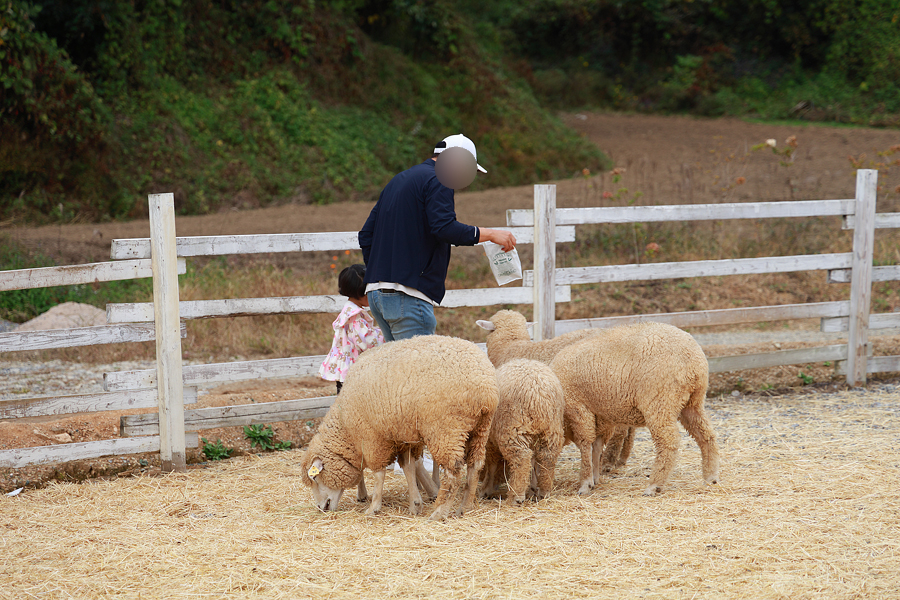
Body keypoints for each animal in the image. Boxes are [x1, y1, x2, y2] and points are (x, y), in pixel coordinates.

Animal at [302, 336, 500, 516]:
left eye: (316, 479)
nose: (320, 508)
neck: (346, 427)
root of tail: (485, 387)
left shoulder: (373, 439)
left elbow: (379, 474)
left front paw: (374, 507)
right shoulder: (402, 436)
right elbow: (409, 468)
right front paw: (415, 504)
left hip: (446, 429)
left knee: (453, 471)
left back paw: (439, 512)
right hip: (480, 427)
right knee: (475, 464)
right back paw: (464, 507)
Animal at [482, 358, 568, 504]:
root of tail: (539, 394)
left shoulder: (490, 443)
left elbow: (491, 466)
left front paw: (486, 489)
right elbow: (532, 463)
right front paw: (533, 487)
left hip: (513, 429)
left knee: (521, 458)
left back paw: (515, 497)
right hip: (552, 429)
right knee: (548, 456)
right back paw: (544, 492)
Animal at [544, 324, 720, 496]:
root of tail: (693, 358)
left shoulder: (578, 409)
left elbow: (585, 445)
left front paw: (585, 484)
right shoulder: (599, 417)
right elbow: (596, 447)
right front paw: (594, 478)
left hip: (660, 402)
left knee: (668, 442)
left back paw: (654, 485)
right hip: (692, 403)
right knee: (706, 435)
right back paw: (710, 477)